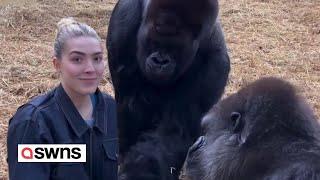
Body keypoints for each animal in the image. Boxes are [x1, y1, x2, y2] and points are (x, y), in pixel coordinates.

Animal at [107, 0, 230, 179]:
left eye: (174, 48)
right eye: (154, 42)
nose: (160, 61)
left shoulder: (215, 63)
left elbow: (173, 132)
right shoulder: (122, 25)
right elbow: (129, 103)